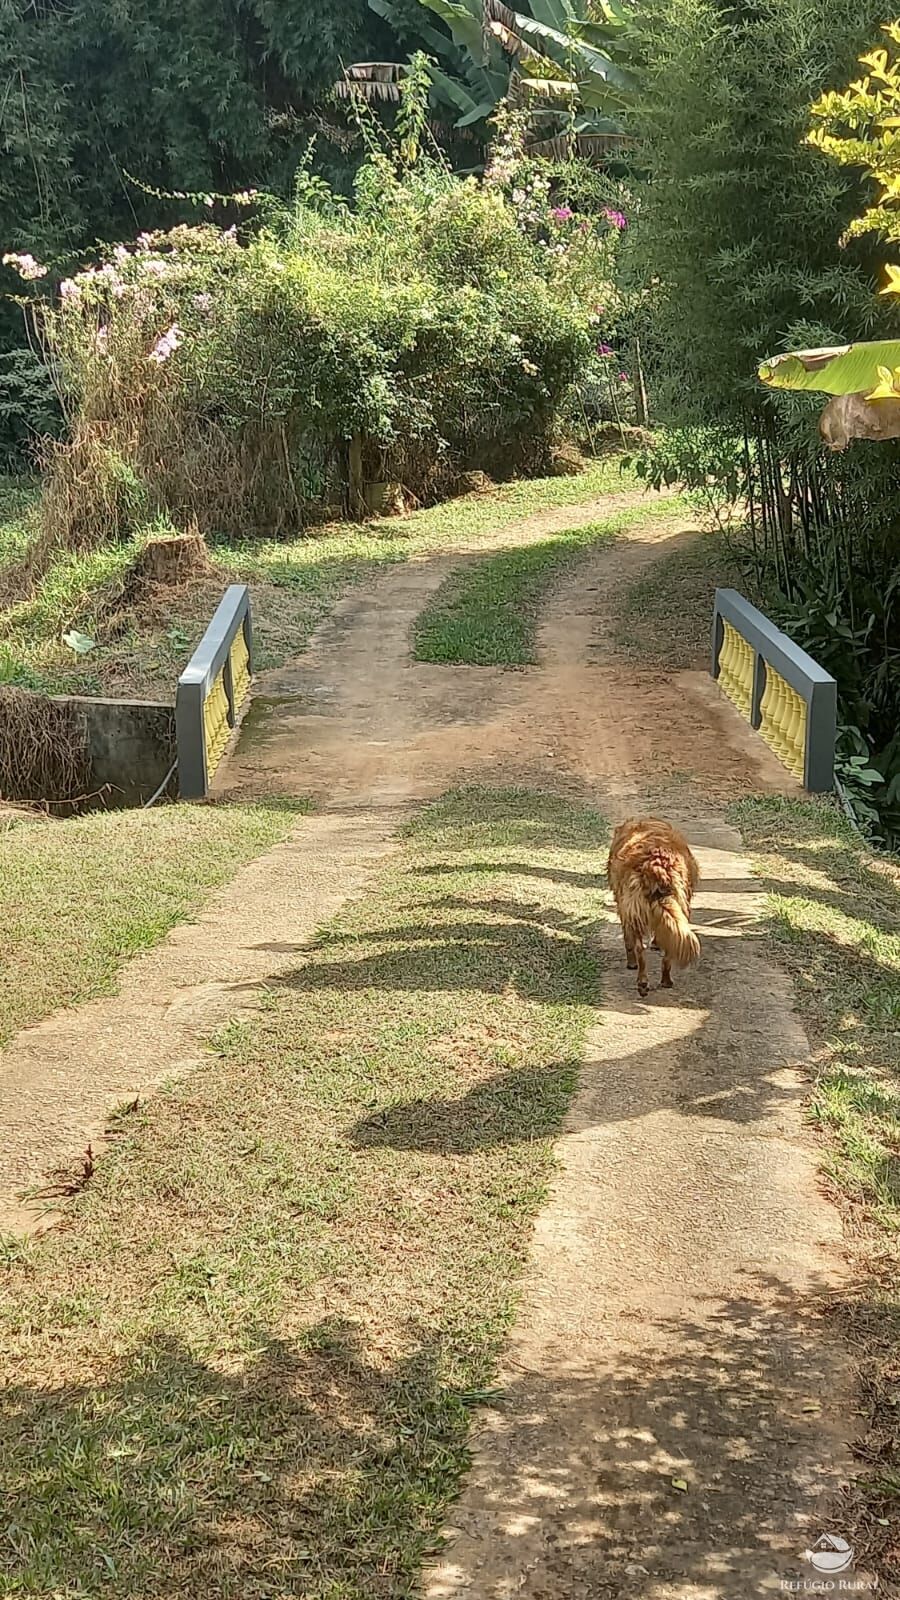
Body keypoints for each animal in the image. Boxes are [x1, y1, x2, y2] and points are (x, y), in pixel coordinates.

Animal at [605, 819, 698, 992]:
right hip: (680, 905)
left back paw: (643, 981)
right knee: (667, 953)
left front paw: (631, 963)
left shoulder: (624, 910)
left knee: (639, 949)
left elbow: (628, 942)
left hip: (634, 914)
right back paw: (664, 981)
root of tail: (656, 866)